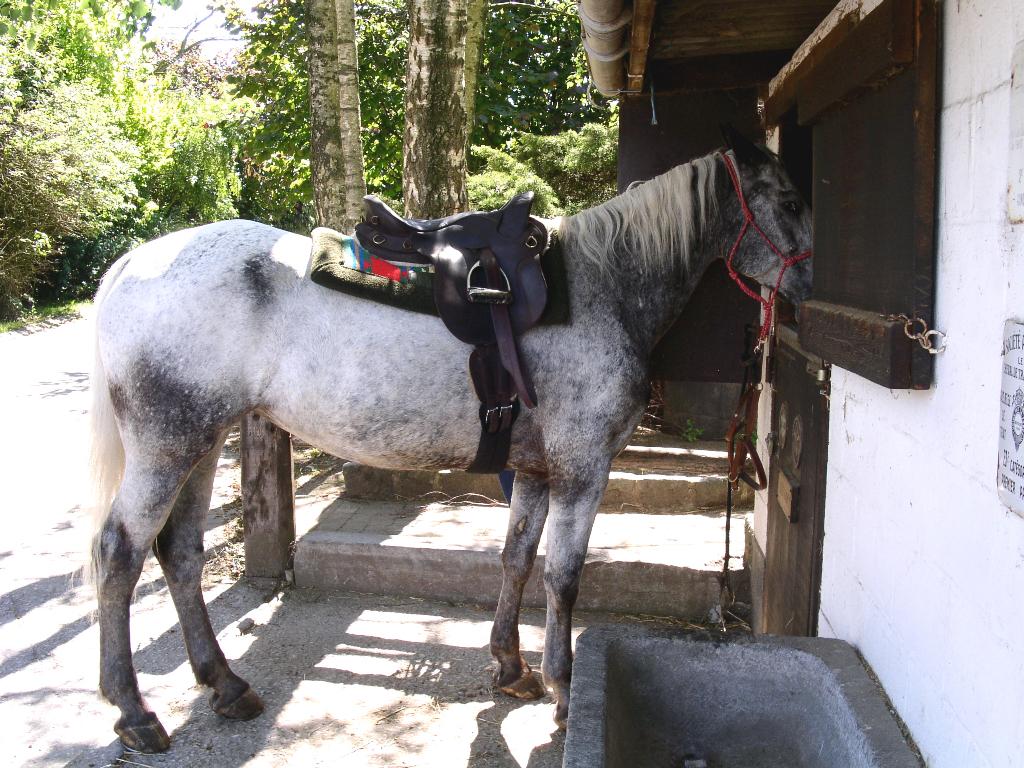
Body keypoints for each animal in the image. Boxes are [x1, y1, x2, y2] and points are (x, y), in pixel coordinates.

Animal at [85, 128, 812, 752]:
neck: (604, 289)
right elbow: (564, 576)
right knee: (120, 553)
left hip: (202, 443)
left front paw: (510, 666)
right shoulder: (583, 469)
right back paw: (134, 712)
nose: (808, 288)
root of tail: (132, 264)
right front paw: (565, 687)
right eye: (787, 201)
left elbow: (517, 558)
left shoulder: (537, 471)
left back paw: (225, 684)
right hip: (166, 447)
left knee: (179, 552)